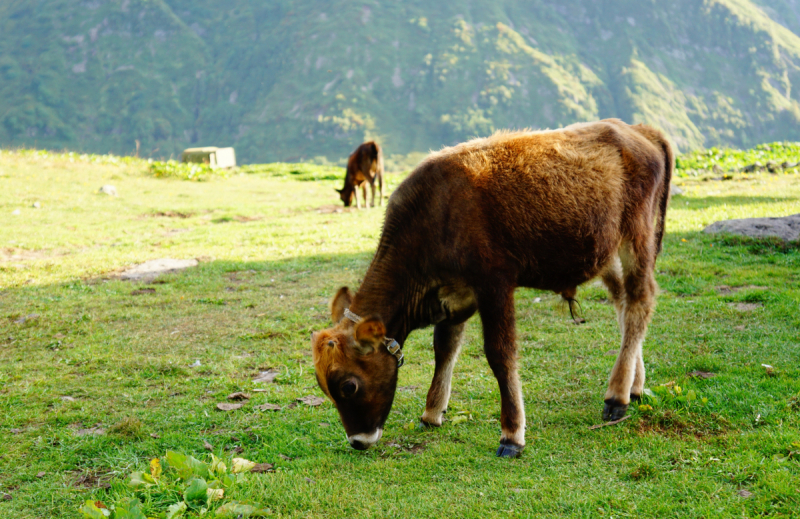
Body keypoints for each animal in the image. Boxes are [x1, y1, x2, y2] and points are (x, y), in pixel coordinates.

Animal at [310, 121, 672, 460]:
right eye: (323, 387)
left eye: (348, 385)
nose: (358, 441)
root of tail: (638, 130)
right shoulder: (453, 294)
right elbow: (444, 348)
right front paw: (432, 411)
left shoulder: (494, 284)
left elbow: (500, 354)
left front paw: (512, 435)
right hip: (606, 252)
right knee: (623, 305)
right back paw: (634, 385)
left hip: (637, 238)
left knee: (640, 303)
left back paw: (617, 396)